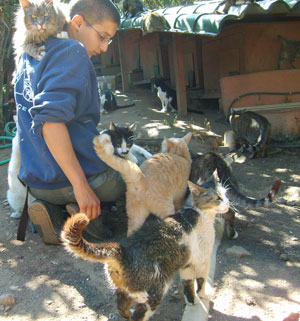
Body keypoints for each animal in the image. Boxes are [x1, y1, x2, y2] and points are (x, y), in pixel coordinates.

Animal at [61, 180, 230, 320]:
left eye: (226, 194)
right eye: (218, 198)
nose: (228, 203)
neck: (198, 213)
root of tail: (121, 249)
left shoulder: (186, 265)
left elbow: (188, 285)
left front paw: (192, 301)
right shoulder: (203, 260)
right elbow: (201, 281)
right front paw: (203, 295)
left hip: (125, 290)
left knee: (121, 305)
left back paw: (127, 313)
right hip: (154, 292)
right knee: (139, 315)